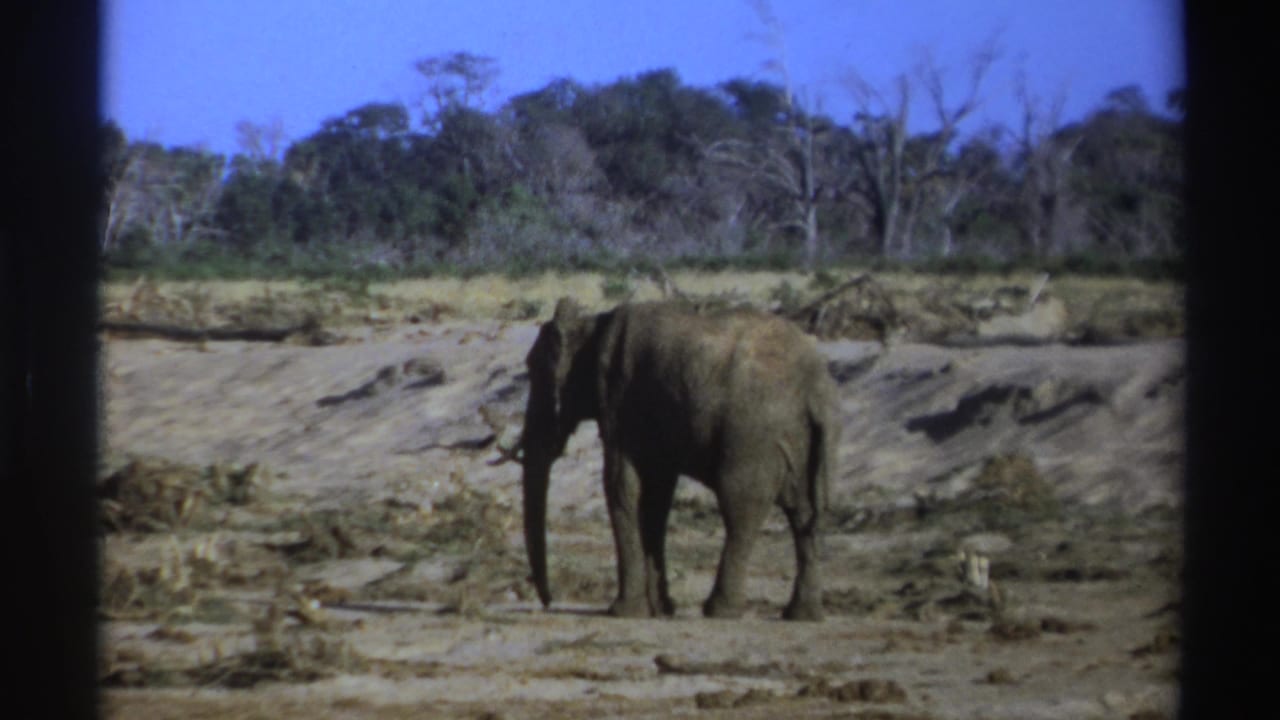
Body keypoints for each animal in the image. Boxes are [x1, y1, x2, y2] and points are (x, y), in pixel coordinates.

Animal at [518, 298, 839, 621]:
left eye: (534, 370)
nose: (547, 602)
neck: (591, 324)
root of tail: (816, 389)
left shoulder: (618, 400)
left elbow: (621, 486)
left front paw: (624, 611)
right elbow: (656, 495)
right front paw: (660, 609)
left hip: (753, 435)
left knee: (741, 508)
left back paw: (720, 610)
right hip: (797, 438)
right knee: (803, 514)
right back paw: (802, 614)